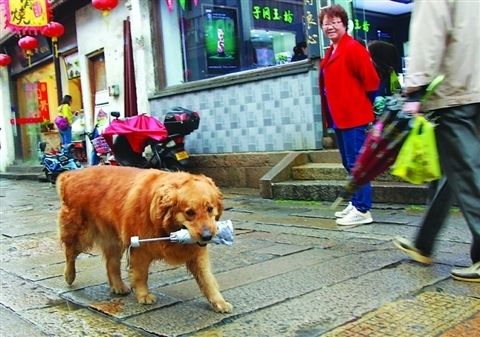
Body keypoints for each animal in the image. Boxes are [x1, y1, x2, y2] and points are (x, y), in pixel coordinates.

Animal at [56, 165, 232, 312]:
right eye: (190, 212)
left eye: (210, 209)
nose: (207, 236)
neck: (165, 226)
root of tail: (70, 175)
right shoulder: (140, 249)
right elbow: (140, 275)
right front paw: (143, 295)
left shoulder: (196, 253)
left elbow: (207, 279)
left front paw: (219, 302)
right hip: (80, 235)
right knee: (70, 254)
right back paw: (69, 276)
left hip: (113, 240)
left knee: (111, 264)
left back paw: (118, 286)